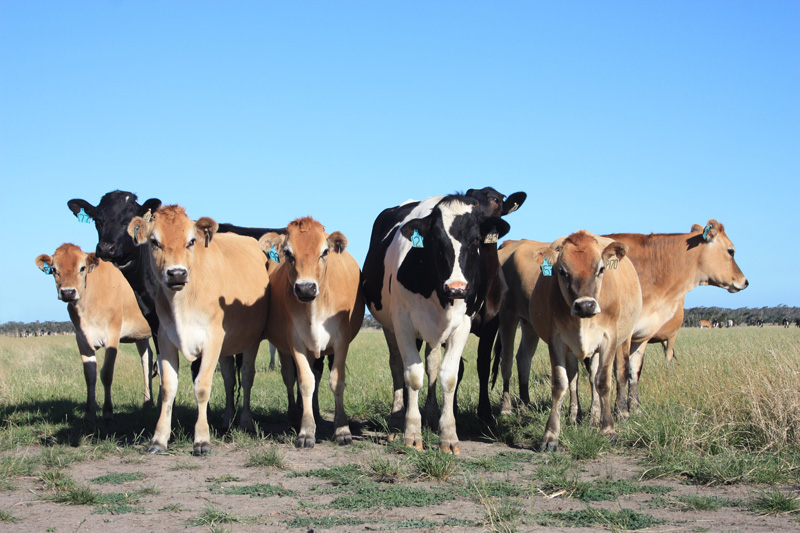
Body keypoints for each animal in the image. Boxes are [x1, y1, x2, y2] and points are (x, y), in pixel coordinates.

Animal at [35, 243, 155, 422]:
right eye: (54, 269)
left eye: (82, 268)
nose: (68, 292)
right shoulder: (81, 338)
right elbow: (89, 374)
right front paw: (90, 412)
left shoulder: (112, 335)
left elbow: (106, 373)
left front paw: (107, 412)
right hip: (141, 334)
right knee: (147, 360)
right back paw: (149, 402)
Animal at [127, 204, 268, 454]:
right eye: (154, 241)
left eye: (191, 241)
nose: (176, 273)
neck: (182, 302)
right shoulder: (165, 339)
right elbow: (167, 388)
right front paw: (159, 438)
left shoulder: (212, 339)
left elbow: (202, 387)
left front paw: (202, 439)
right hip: (226, 346)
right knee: (229, 378)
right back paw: (227, 420)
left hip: (250, 340)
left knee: (246, 376)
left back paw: (245, 420)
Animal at [258, 214, 364, 446]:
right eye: (288, 253)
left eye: (324, 252)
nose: (305, 288)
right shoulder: (295, 343)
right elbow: (305, 383)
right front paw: (306, 430)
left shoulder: (341, 342)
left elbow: (336, 381)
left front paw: (342, 429)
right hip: (285, 349)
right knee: (290, 377)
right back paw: (294, 415)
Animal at [360, 193, 510, 450]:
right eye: (436, 240)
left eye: (475, 240)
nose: (456, 287)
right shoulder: (403, 324)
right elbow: (412, 375)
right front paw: (411, 433)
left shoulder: (463, 325)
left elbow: (447, 376)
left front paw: (448, 436)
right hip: (390, 326)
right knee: (397, 366)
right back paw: (396, 422)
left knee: (431, 364)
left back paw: (430, 416)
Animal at [524, 231, 644, 450]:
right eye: (562, 271)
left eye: (601, 269)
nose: (585, 305)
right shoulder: (557, 341)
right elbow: (560, 384)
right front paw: (551, 435)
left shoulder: (608, 339)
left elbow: (604, 382)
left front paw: (608, 430)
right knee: (577, 380)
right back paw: (580, 416)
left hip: (623, 340)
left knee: (614, 375)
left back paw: (615, 414)